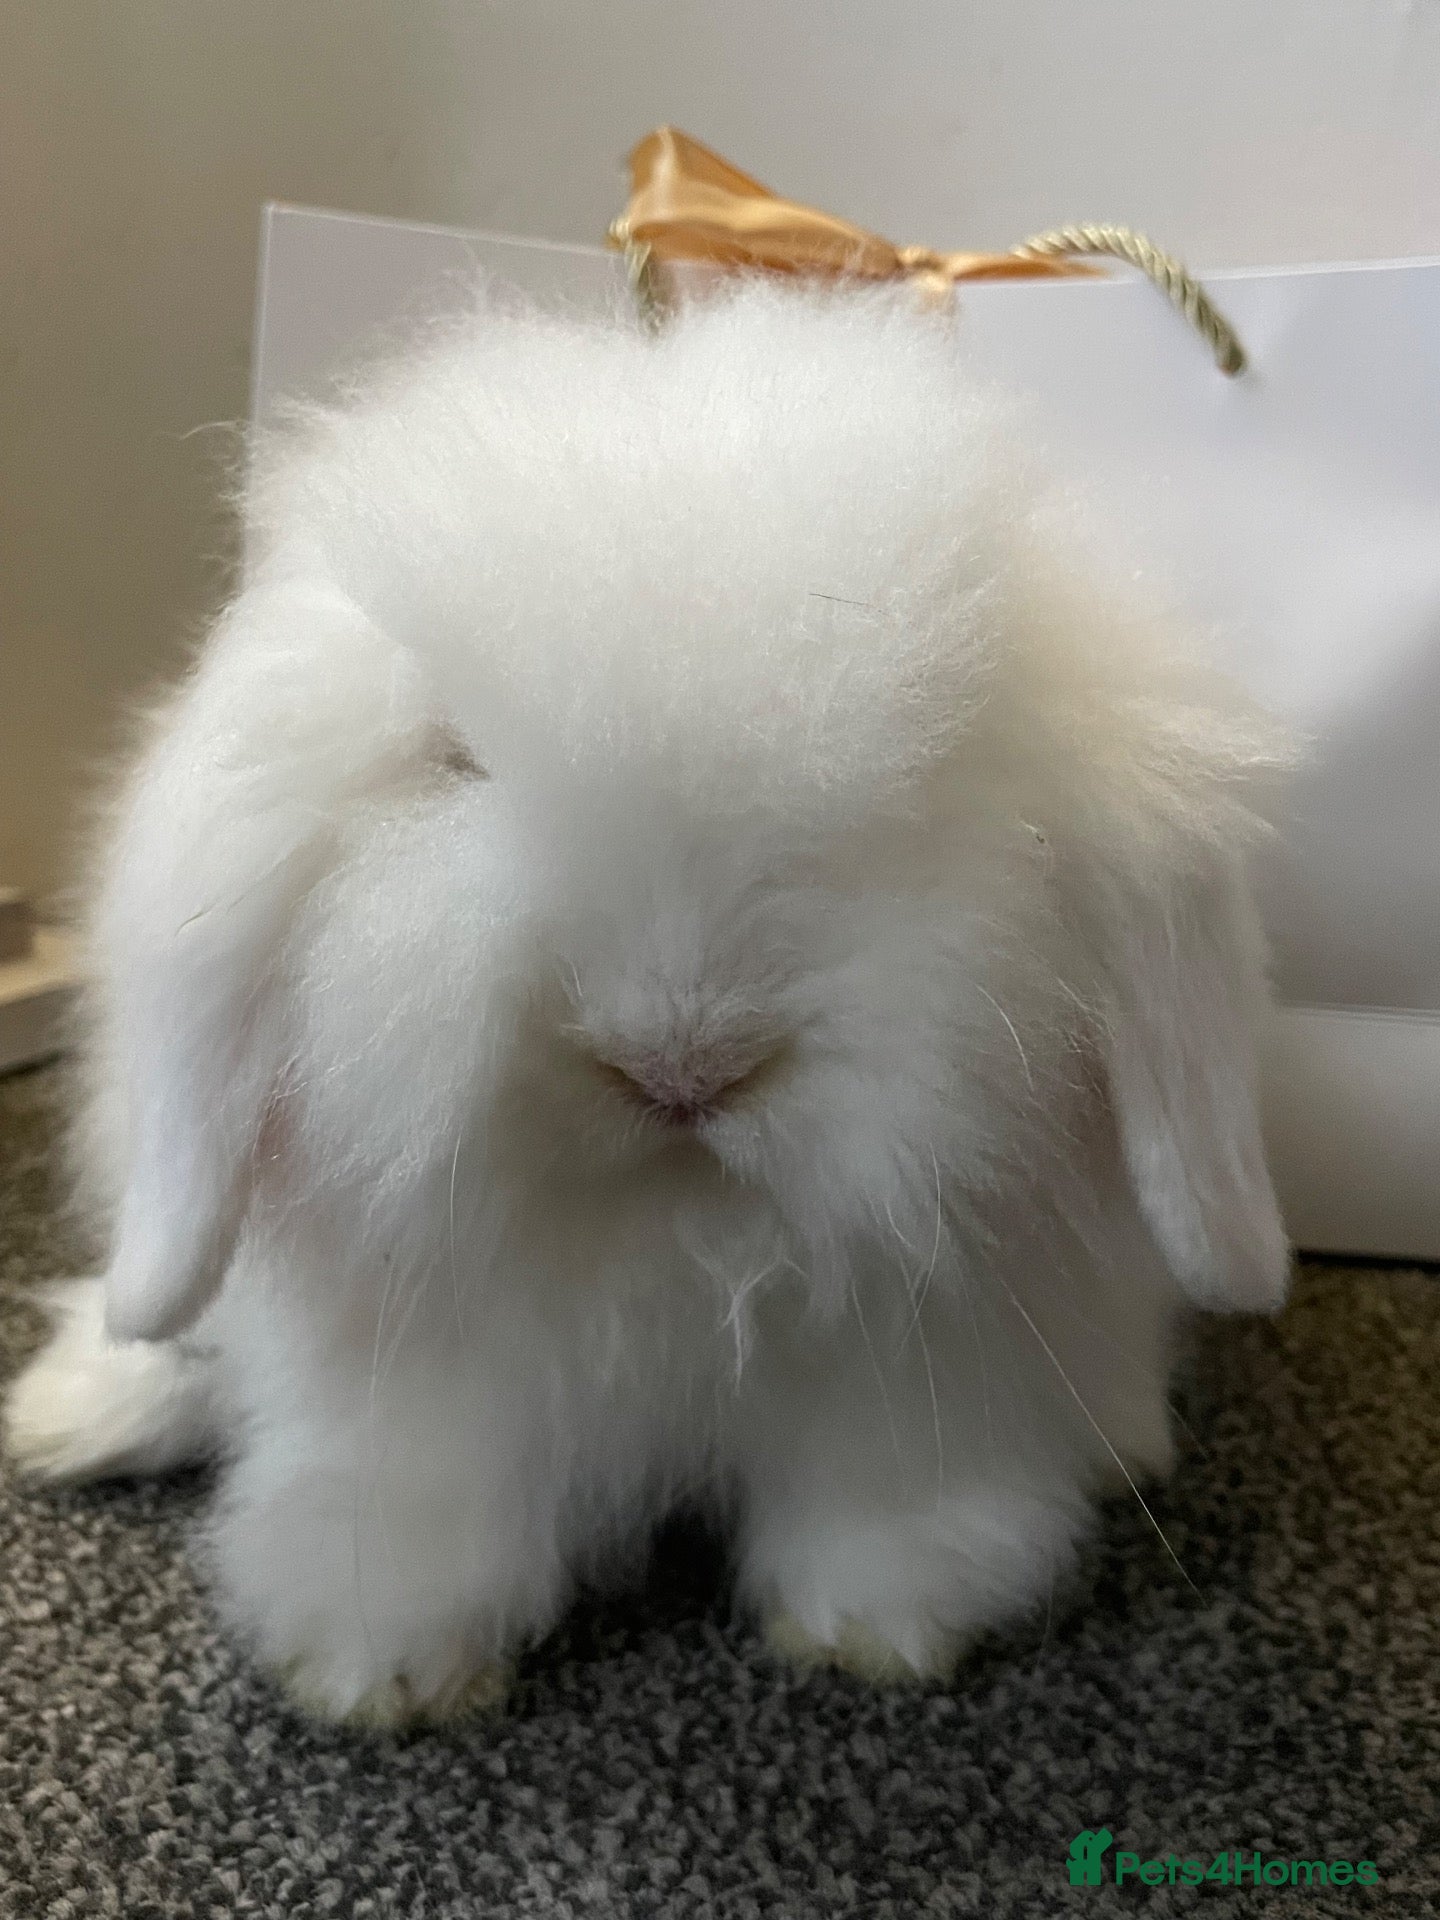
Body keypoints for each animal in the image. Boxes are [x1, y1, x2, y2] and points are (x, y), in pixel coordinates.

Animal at [4, 282, 1292, 1725]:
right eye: (457, 760)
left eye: (937, 769)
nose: (682, 1063)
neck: (678, 1243)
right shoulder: (410, 1359)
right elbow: (415, 1480)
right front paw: (377, 1659)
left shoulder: (936, 1330)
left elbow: (888, 1476)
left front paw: (892, 1616)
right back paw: (66, 1418)